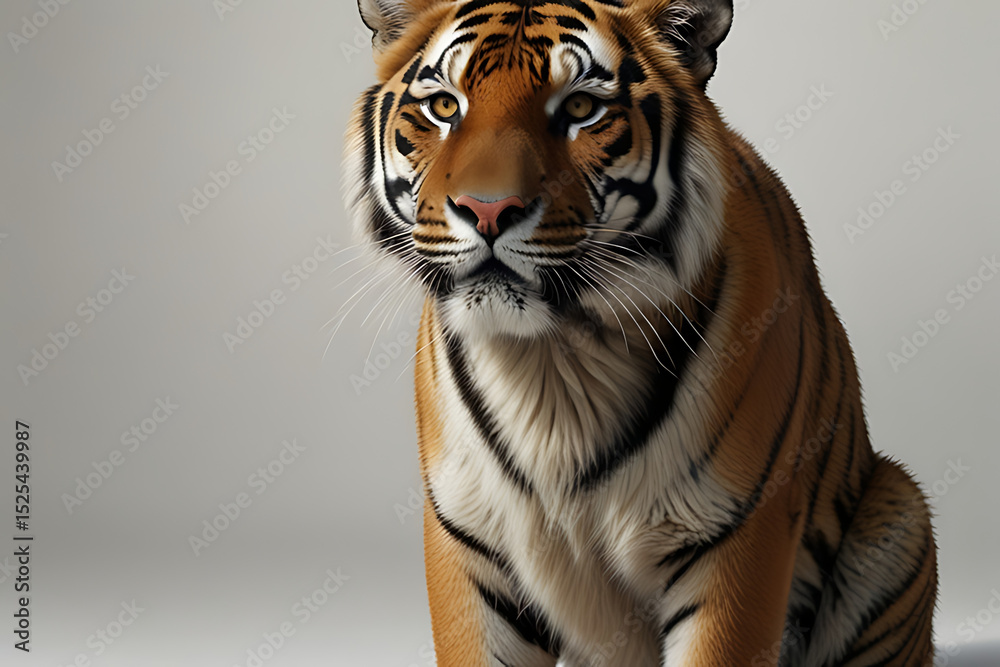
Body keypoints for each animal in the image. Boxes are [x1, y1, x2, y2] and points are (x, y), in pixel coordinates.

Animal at [343, 0, 938, 665]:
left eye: (581, 108)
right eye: (445, 107)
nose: (488, 210)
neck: (552, 359)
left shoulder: (736, 538)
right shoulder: (466, 538)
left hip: (899, 507)